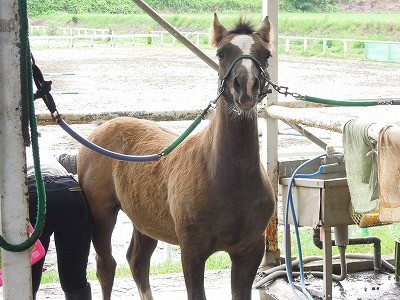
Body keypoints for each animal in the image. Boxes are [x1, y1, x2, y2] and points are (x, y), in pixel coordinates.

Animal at [78, 14, 276, 300]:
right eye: (221, 53)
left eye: (266, 54)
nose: (246, 87)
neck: (225, 177)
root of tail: (100, 128)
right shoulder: (192, 252)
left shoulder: (249, 251)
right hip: (102, 214)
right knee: (106, 266)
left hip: (143, 220)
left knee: (137, 262)